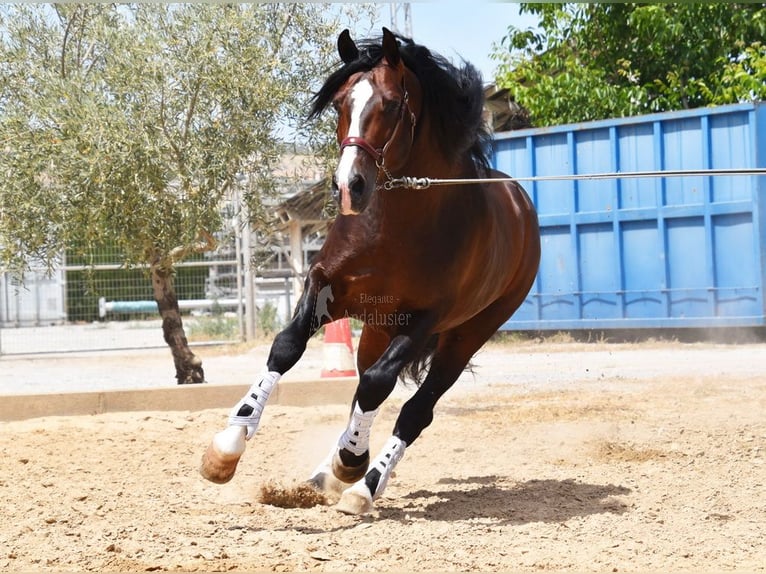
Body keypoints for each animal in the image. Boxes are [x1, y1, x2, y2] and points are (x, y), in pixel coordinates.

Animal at [201, 27, 544, 516]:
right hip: (378, 331)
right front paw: (227, 448)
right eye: (340, 102)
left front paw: (354, 465)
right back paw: (329, 472)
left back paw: (363, 482)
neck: (394, 225)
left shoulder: (425, 320)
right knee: (363, 389)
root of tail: (521, 203)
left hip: (464, 337)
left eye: (394, 105)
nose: (349, 187)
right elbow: (287, 348)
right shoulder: (326, 288)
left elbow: (379, 385)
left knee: (414, 408)